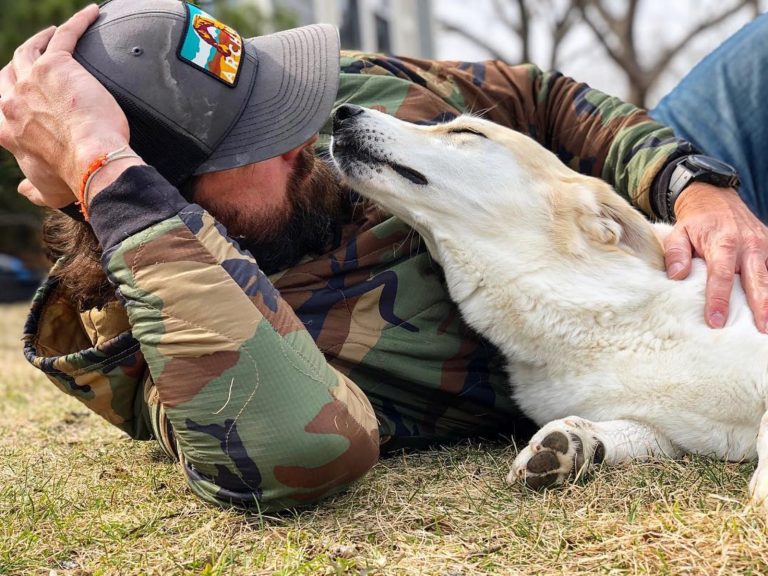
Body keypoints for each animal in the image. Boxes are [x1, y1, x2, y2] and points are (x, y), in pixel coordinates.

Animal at [328, 103, 768, 508]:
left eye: (466, 131)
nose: (341, 112)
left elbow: (764, 427)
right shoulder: (666, 427)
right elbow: (628, 431)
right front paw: (574, 444)